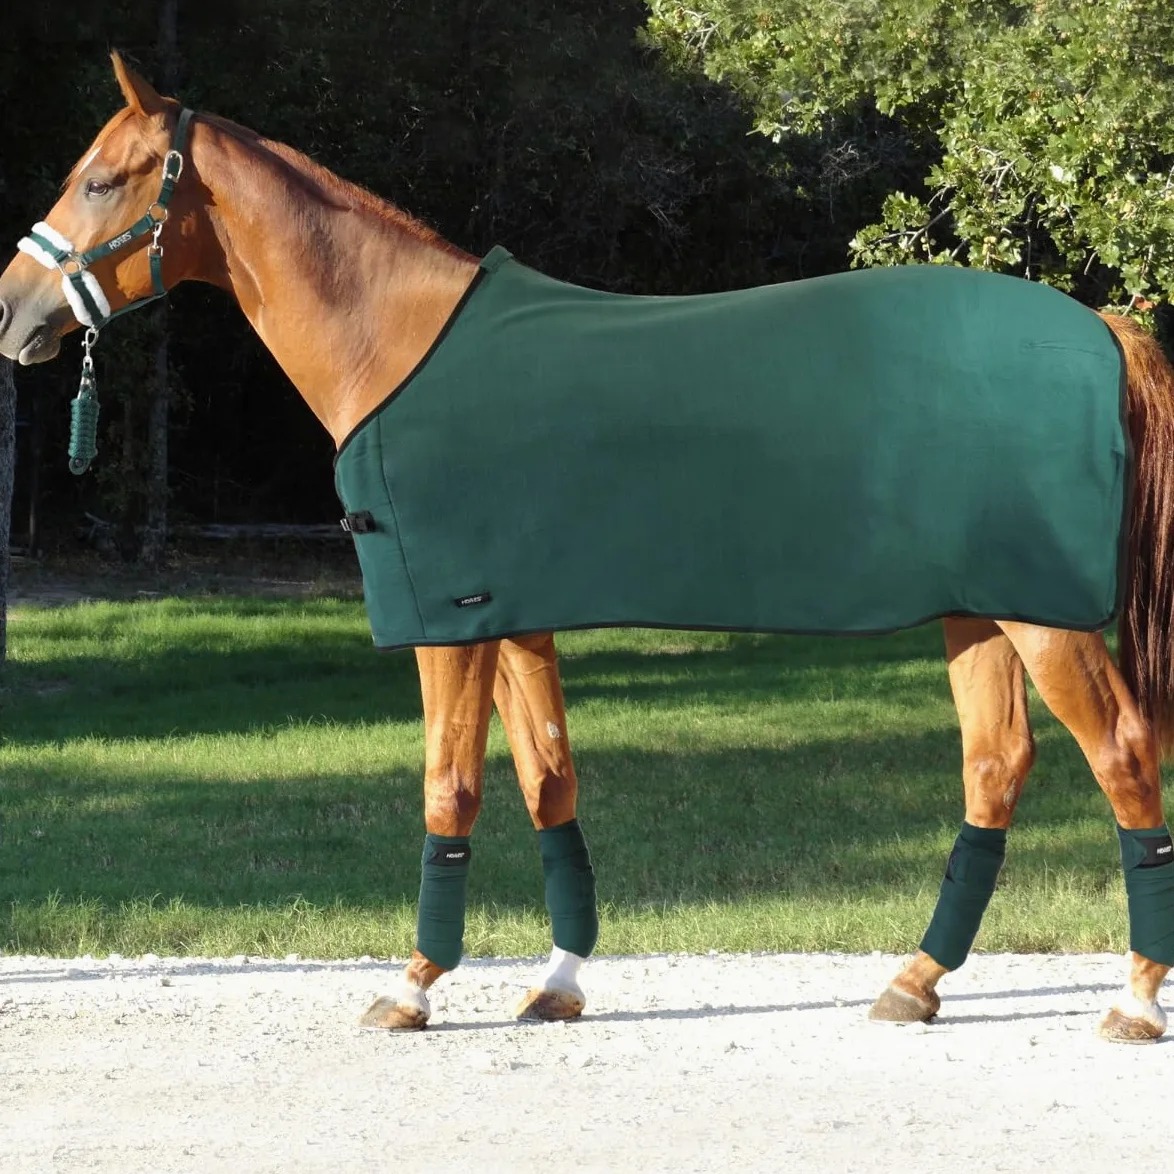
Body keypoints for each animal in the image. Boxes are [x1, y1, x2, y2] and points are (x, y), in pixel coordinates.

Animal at [1, 54, 1172, 1043]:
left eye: (101, 181)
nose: (13, 308)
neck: (399, 345)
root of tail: (1100, 327)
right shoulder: (517, 617)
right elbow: (548, 780)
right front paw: (557, 982)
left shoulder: (449, 625)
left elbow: (450, 789)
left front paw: (414, 986)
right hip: (980, 608)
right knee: (996, 764)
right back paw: (914, 982)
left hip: (1043, 617)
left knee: (1121, 754)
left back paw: (1133, 998)